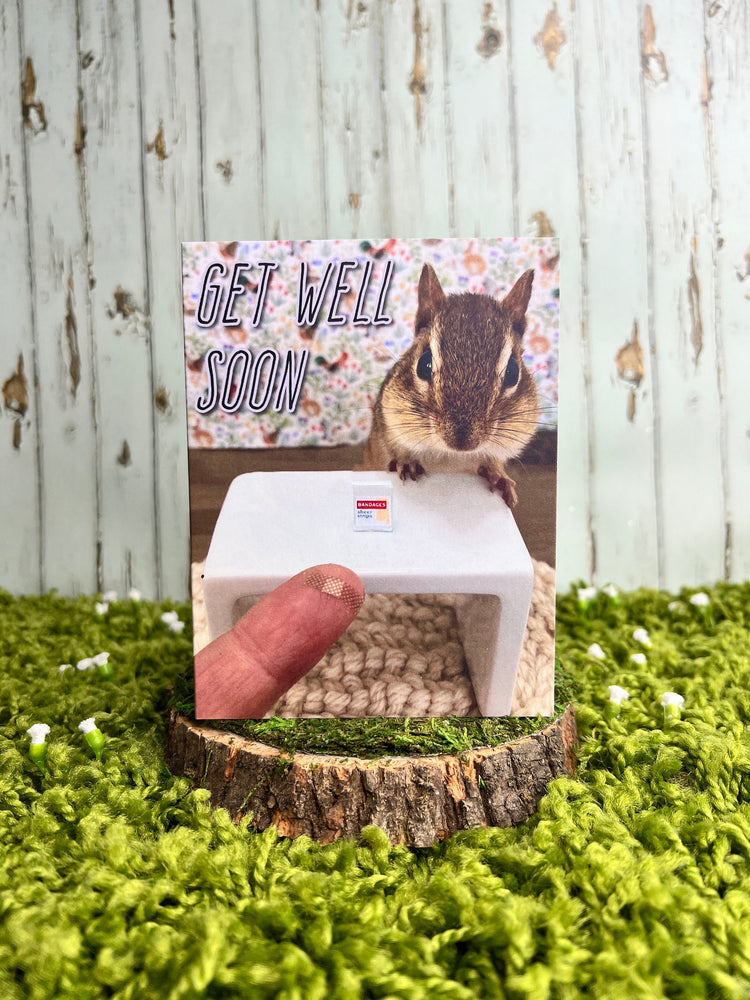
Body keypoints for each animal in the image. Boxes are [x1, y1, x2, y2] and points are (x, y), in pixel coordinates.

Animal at [360, 263, 539, 509]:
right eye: (423, 364)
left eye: (513, 372)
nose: (462, 441)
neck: (450, 456)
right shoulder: (389, 421)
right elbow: (395, 446)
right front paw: (406, 462)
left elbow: (494, 462)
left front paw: (499, 476)